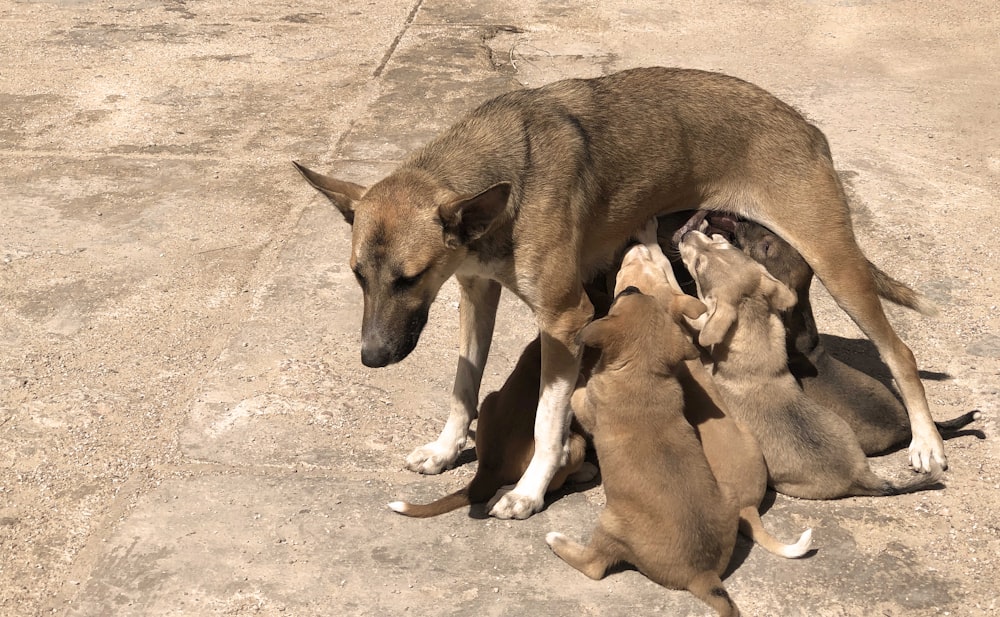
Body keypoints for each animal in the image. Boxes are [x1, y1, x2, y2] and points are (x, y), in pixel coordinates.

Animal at [548, 288, 744, 616]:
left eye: (619, 303)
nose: (632, 289)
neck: (643, 372)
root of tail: (702, 574)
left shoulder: (588, 405)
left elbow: (578, 393)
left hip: (609, 523)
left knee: (593, 566)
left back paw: (557, 541)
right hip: (729, 493)